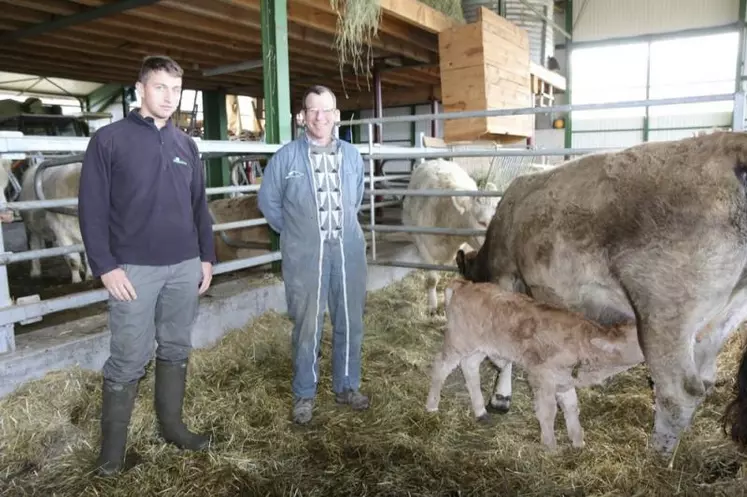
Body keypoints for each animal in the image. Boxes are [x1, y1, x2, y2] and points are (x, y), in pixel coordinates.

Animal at [452, 131, 747, 458]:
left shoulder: (507, 277)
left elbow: (504, 352)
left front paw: (501, 397)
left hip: (665, 313)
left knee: (680, 391)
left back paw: (658, 452)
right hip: (725, 315)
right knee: (705, 376)